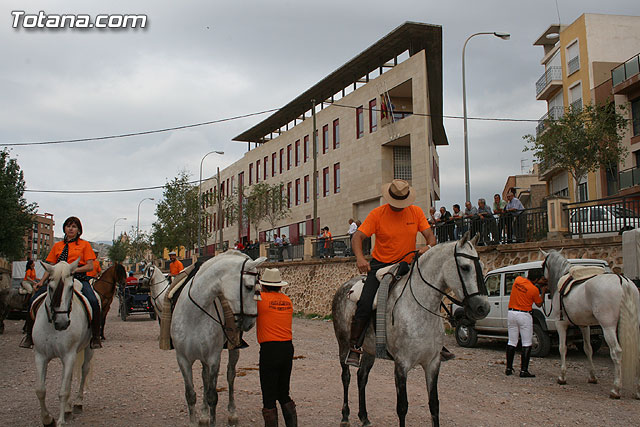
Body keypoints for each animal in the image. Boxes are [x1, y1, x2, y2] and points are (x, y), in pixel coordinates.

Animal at [33, 258, 98, 426]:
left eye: (70, 288)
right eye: (50, 287)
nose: (62, 323)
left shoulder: (68, 355)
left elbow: (63, 391)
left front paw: (60, 421)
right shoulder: (40, 356)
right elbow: (40, 390)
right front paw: (47, 419)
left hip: (88, 348)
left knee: (84, 370)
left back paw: (77, 403)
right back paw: (68, 409)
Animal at [171, 250, 267, 426]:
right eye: (249, 287)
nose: (251, 322)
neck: (194, 315)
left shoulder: (213, 358)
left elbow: (212, 396)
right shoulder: (182, 359)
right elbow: (190, 395)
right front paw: (197, 419)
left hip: (232, 349)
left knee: (230, 375)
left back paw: (232, 413)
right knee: (204, 377)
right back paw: (203, 415)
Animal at [332, 232, 490, 427]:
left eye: (481, 266)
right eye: (465, 267)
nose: (483, 308)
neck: (420, 308)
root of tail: (343, 288)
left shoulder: (433, 363)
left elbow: (434, 404)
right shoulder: (402, 364)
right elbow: (402, 407)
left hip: (369, 350)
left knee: (362, 377)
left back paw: (364, 417)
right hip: (343, 345)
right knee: (346, 376)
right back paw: (345, 416)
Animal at [542, 249, 640, 399]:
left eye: (543, 265)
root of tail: (623, 281)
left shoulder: (560, 324)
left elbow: (562, 348)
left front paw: (562, 377)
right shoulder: (584, 326)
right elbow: (588, 349)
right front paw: (592, 377)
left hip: (608, 327)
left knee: (616, 352)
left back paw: (615, 389)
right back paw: (638, 390)